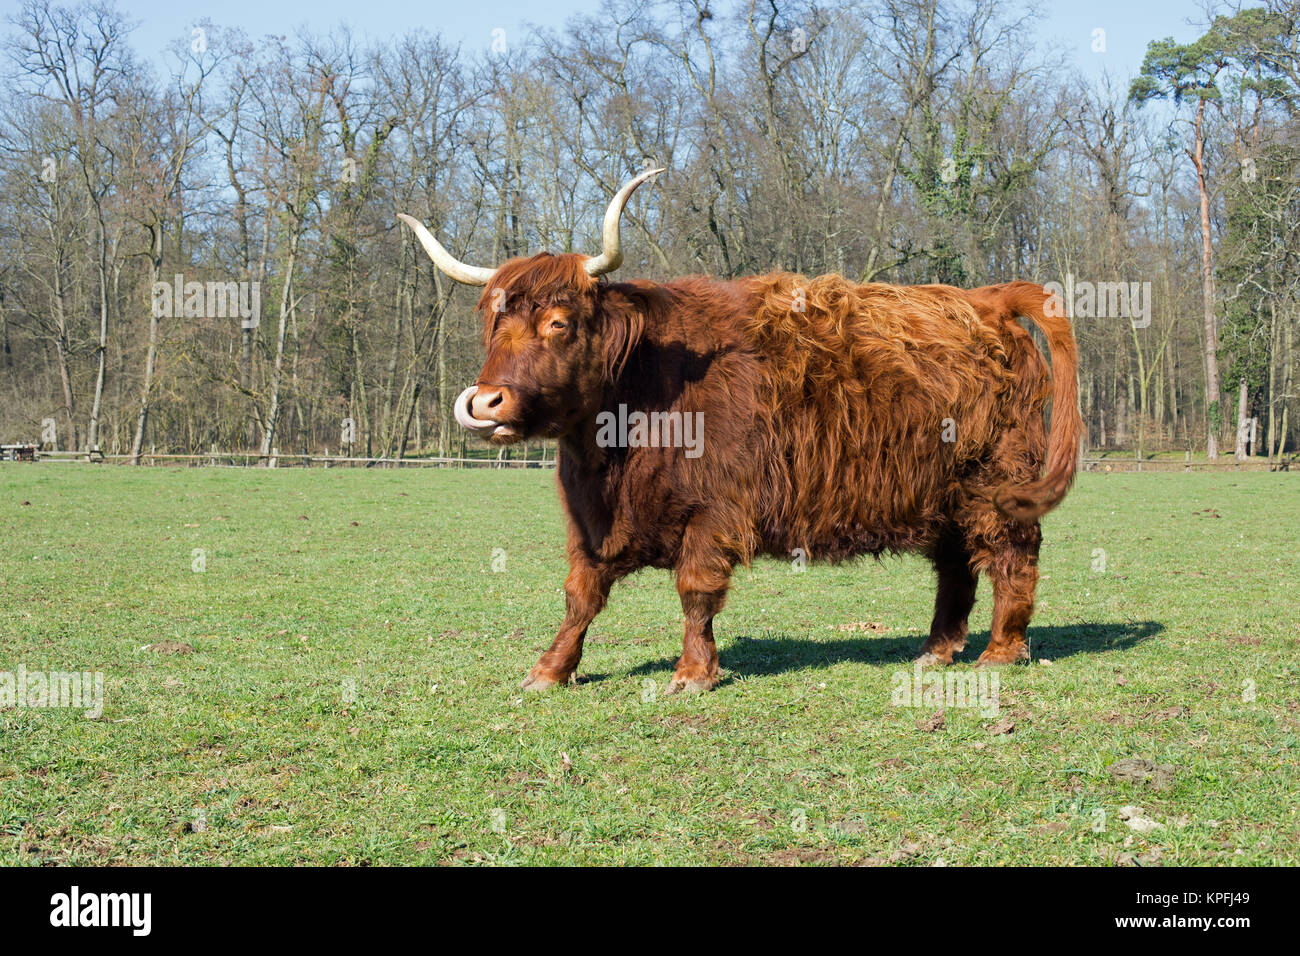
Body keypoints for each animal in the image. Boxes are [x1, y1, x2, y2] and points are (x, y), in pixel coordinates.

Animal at [398, 168, 1081, 694]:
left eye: (559, 323)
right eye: (494, 323)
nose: (487, 402)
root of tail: (989, 299)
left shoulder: (716, 507)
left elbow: (695, 590)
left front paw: (692, 674)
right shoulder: (589, 521)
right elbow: (580, 594)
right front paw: (549, 670)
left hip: (996, 481)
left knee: (1011, 555)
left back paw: (1000, 651)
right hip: (942, 493)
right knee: (956, 566)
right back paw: (935, 651)